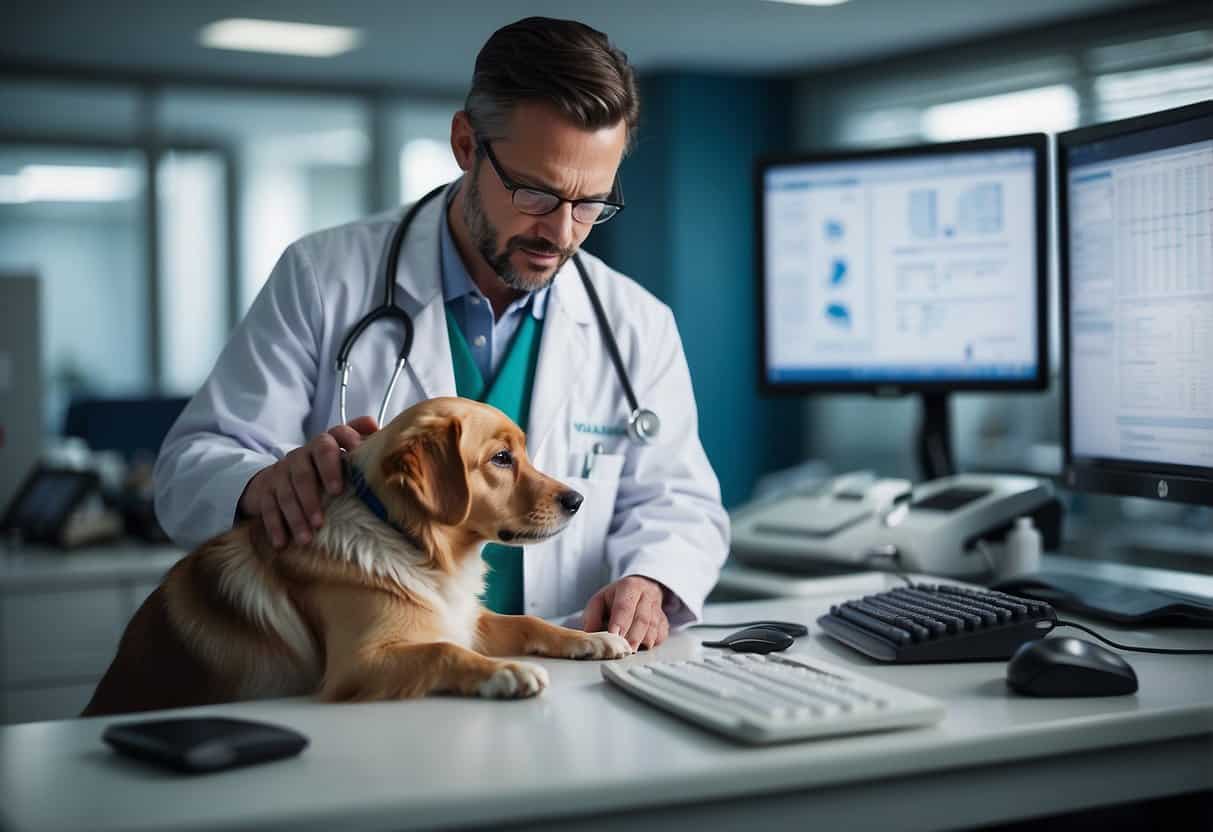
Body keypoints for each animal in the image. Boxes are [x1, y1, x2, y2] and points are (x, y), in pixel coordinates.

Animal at [84, 397, 630, 717]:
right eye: (501, 459)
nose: (577, 500)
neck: (415, 545)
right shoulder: (359, 663)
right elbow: (443, 651)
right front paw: (506, 673)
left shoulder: (465, 618)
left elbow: (529, 623)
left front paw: (592, 637)